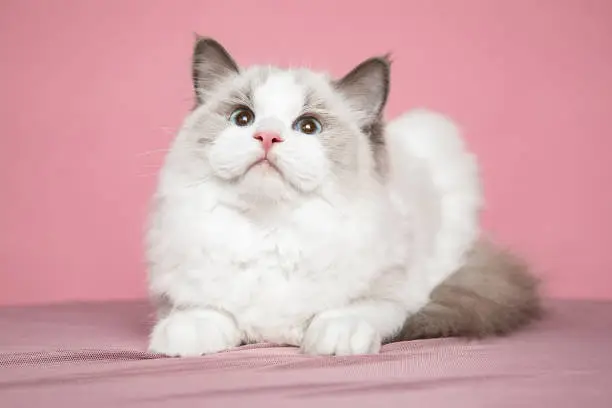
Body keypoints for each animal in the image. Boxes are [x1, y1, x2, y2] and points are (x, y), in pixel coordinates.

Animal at [145, 37, 540, 356]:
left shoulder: (392, 293)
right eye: (242, 118)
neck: (271, 229)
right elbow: (201, 312)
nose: (268, 136)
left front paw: (334, 338)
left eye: (308, 127)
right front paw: (182, 337)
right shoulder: (183, 292)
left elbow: (350, 311)